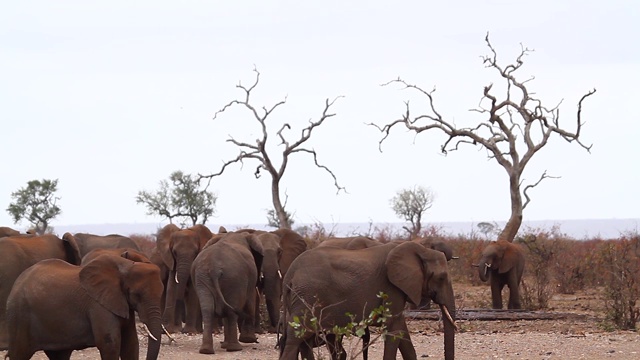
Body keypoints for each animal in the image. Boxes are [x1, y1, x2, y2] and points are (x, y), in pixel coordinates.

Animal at [5, 253, 165, 360]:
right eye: (136, 294)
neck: (126, 265)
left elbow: (130, 344)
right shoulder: (98, 306)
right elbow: (110, 344)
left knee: (60, 355)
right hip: (19, 317)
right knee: (19, 354)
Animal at [280, 240, 456, 360]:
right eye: (441, 278)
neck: (422, 250)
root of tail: (290, 273)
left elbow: (401, 330)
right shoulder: (390, 288)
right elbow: (393, 327)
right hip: (307, 296)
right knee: (295, 339)